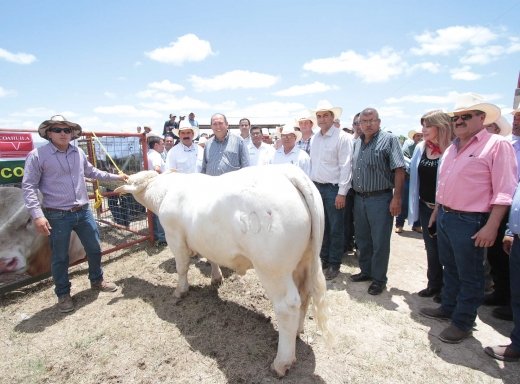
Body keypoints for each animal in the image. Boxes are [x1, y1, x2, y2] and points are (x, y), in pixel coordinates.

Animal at [116, 164, 332, 376]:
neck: (166, 190)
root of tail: (289, 173)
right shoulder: (208, 241)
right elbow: (212, 258)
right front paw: (216, 278)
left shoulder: (174, 235)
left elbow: (182, 266)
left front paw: (180, 291)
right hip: (304, 262)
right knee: (304, 295)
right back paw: (297, 331)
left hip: (272, 268)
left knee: (287, 305)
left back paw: (281, 363)